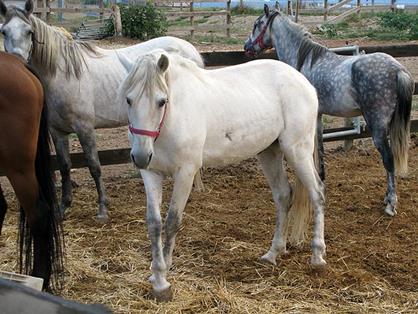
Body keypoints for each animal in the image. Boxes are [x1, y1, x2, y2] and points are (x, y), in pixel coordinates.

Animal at [0, 0, 206, 221]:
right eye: (3, 31)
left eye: (29, 32)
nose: (18, 63)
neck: (63, 74)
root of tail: (190, 50)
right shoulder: (57, 131)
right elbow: (64, 166)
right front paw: (64, 207)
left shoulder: (84, 128)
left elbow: (94, 166)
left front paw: (102, 208)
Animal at [117, 50, 326, 300]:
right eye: (128, 100)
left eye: (161, 101)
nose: (139, 156)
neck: (171, 118)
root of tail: (305, 82)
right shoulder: (150, 173)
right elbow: (154, 224)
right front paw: (156, 276)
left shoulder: (186, 172)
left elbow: (172, 221)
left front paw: (164, 277)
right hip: (269, 152)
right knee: (284, 196)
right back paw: (273, 253)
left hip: (298, 151)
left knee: (317, 194)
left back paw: (317, 256)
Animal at [243, 5, 414, 216]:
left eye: (257, 24)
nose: (246, 46)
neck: (304, 59)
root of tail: (398, 69)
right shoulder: (318, 116)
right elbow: (320, 147)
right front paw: (321, 180)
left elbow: (315, 149)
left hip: (378, 125)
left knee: (388, 159)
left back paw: (390, 204)